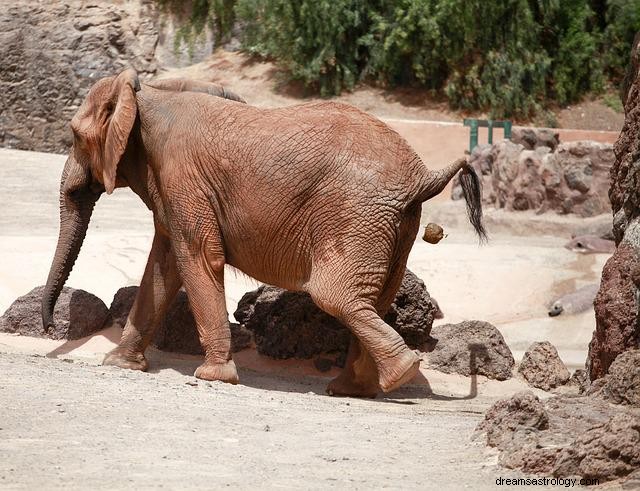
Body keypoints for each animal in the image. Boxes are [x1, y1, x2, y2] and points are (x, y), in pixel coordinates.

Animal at [41, 68, 484, 400]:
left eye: (76, 136)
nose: (48, 329)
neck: (146, 94)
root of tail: (424, 176)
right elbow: (164, 267)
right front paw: (119, 365)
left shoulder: (183, 176)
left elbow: (197, 256)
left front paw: (212, 377)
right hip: (395, 223)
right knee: (377, 297)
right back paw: (353, 389)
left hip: (356, 215)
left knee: (335, 296)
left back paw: (399, 374)